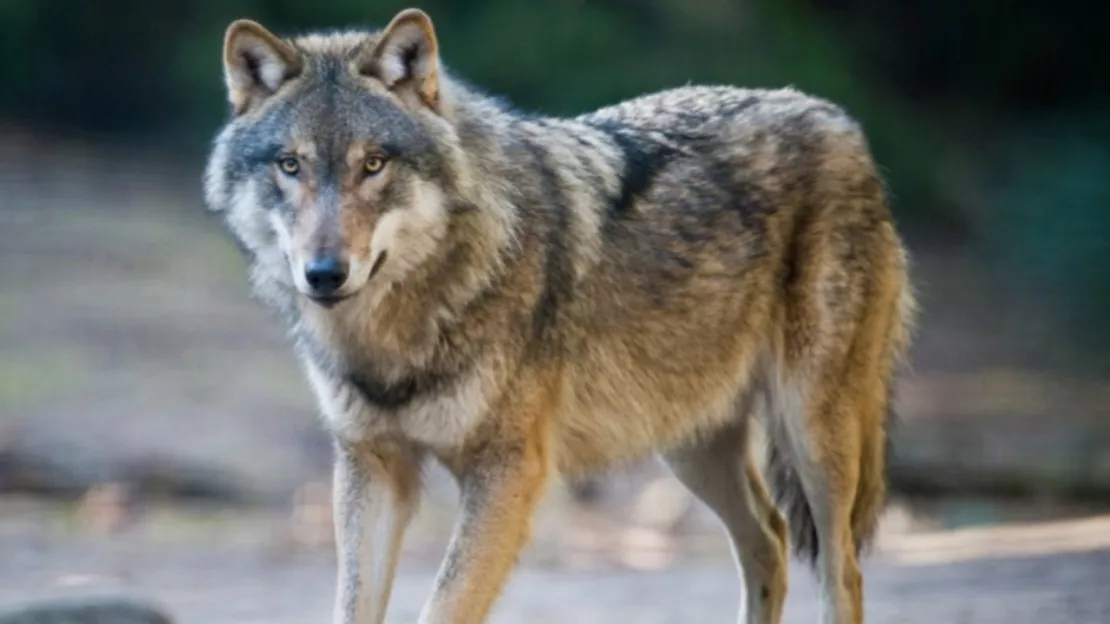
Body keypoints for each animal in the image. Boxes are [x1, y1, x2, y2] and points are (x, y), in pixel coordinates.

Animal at [204, 6, 914, 621]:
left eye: (373, 165)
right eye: (290, 165)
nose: (324, 274)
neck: (401, 329)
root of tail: (836, 116)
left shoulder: (507, 473)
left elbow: (444, 607)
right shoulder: (371, 466)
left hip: (812, 435)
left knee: (843, 570)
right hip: (688, 442)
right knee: (769, 539)